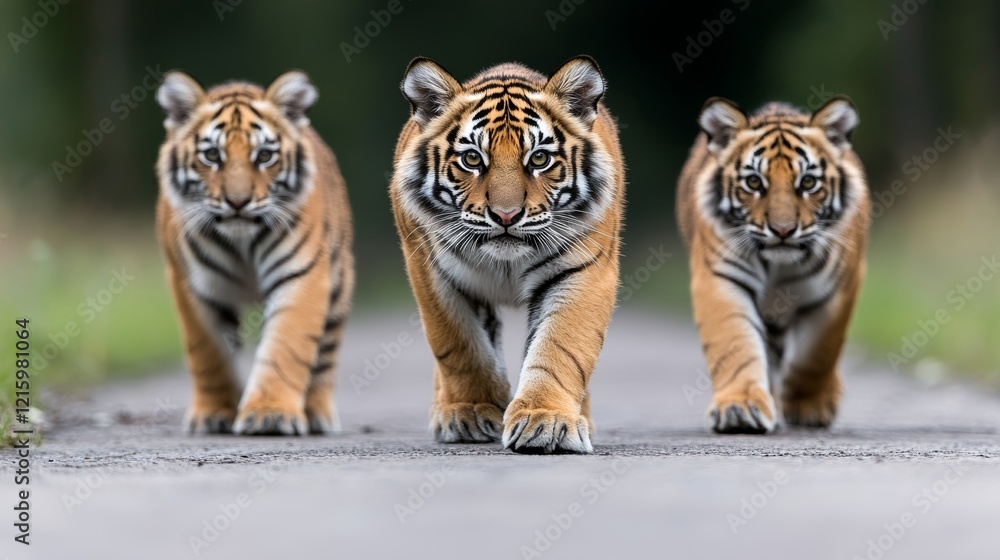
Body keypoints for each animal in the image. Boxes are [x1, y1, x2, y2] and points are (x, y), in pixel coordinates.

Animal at [154, 70, 354, 436]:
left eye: (264, 156)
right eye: (212, 155)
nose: (238, 202)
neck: (241, 242)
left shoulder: (300, 275)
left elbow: (285, 347)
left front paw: (270, 415)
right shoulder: (194, 285)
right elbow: (208, 355)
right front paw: (213, 414)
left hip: (339, 285)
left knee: (325, 356)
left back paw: (317, 413)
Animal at [389, 56, 625, 454]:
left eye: (540, 158)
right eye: (472, 159)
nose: (506, 216)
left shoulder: (582, 268)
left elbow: (559, 348)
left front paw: (547, 421)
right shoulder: (431, 268)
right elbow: (459, 344)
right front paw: (472, 410)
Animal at [676, 96, 870, 434]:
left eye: (808, 182)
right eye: (754, 182)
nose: (783, 230)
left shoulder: (837, 290)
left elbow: (817, 353)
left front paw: (808, 406)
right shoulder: (721, 279)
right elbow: (735, 343)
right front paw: (740, 408)